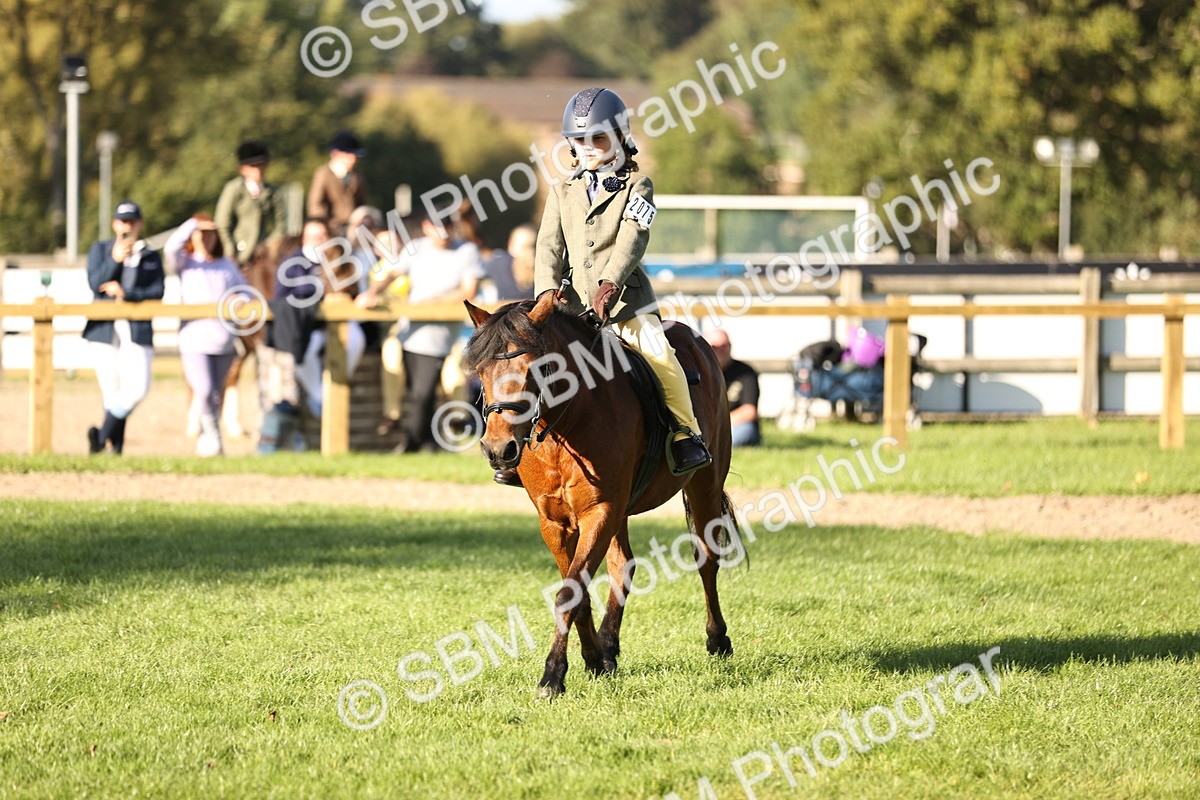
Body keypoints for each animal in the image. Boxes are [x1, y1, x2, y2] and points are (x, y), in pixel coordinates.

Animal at [463, 291, 741, 699]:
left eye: (533, 369)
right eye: (481, 372)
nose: (498, 450)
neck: (566, 425)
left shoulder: (600, 510)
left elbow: (570, 593)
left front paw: (552, 676)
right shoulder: (555, 522)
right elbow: (576, 590)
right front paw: (593, 659)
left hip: (704, 483)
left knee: (706, 559)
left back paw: (717, 639)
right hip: (622, 511)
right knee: (622, 565)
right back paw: (609, 648)